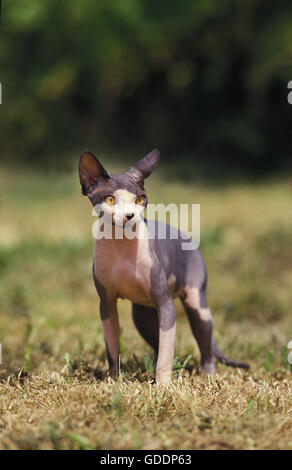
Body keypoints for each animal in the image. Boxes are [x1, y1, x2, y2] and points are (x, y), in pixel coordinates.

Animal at [78, 149, 249, 384]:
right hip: (142, 315)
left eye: (140, 199)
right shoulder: (107, 304)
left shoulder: (166, 305)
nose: (130, 215)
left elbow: (167, 354)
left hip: (196, 305)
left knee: (204, 345)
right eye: (110, 199)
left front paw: (163, 386)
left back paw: (208, 375)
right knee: (157, 341)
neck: (121, 245)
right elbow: (112, 349)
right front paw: (114, 380)